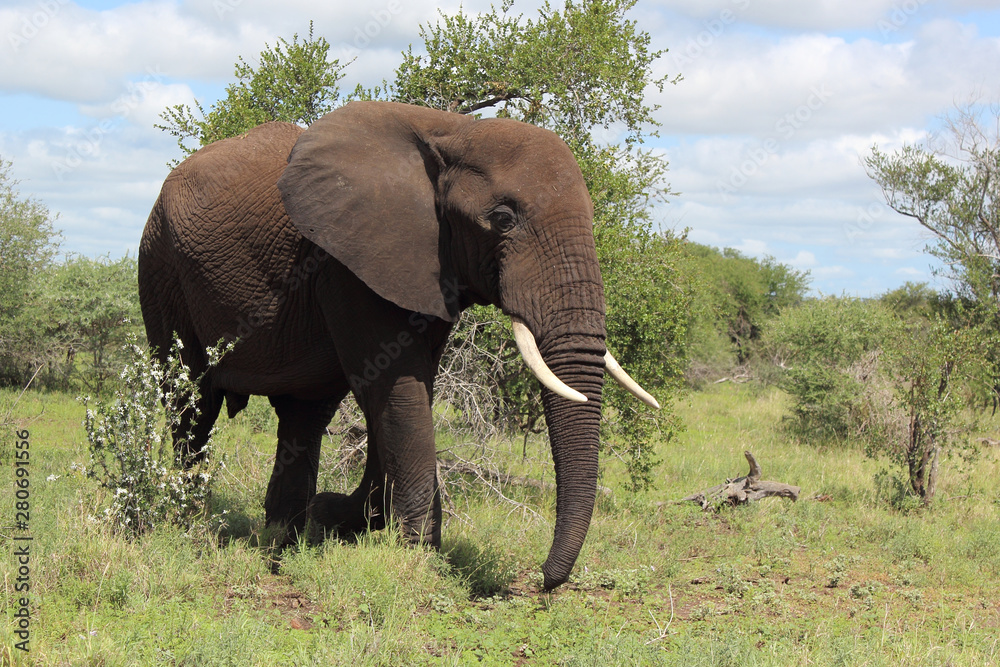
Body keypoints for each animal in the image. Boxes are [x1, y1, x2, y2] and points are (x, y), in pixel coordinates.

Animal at [138, 101, 658, 590]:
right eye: (503, 219)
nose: (543, 580)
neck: (452, 132)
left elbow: (406, 392)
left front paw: (355, 520)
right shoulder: (346, 264)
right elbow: (398, 390)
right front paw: (420, 562)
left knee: (303, 416)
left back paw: (282, 544)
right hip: (160, 267)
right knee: (192, 405)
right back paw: (193, 527)